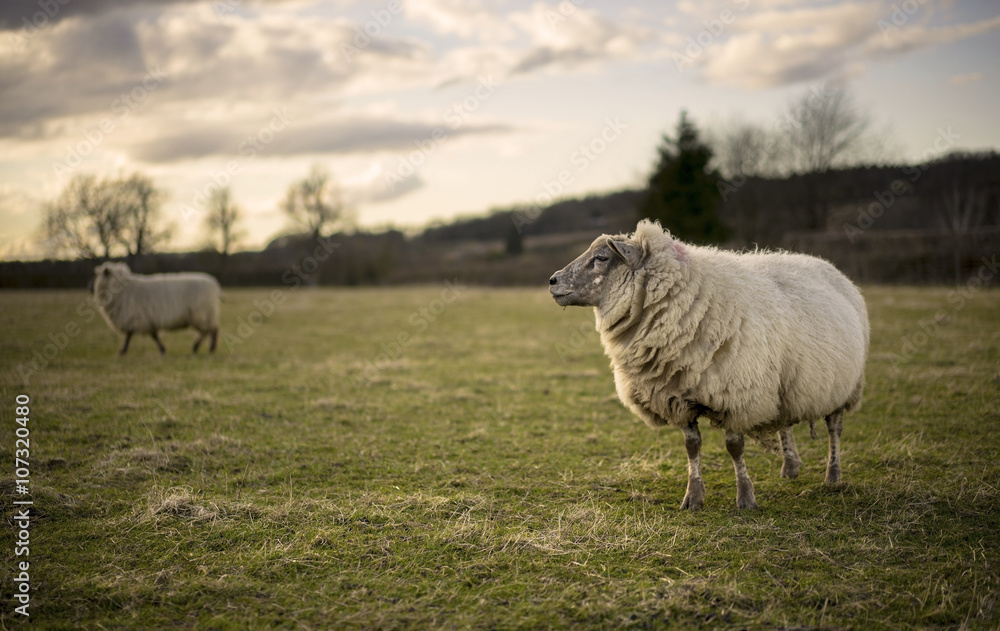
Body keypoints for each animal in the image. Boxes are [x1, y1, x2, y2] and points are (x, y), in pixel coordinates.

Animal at [92, 262, 222, 356]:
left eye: (98, 276)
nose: (89, 288)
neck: (123, 289)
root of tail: (214, 284)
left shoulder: (136, 317)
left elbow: (132, 335)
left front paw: (122, 351)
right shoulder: (145, 319)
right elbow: (151, 335)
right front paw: (162, 349)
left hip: (202, 313)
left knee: (209, 329)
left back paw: (199, 347)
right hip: (204, 314)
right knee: (212, 329)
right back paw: (209, 348)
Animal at [548, 220, 869, 510]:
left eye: (602, 258)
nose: (552, 280)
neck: (687, 299)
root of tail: (825, 264)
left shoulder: (738, 394)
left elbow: (734, 447)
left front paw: (746, 498)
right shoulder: (677, 396)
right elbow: (692, 447)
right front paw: (693, 497)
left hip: (844, 384)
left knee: (834, 428)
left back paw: (833, 476)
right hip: (785, 382)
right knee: (785, 422)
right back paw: (790, 467)